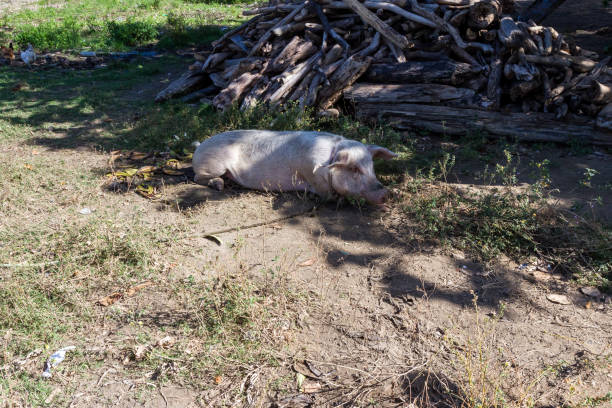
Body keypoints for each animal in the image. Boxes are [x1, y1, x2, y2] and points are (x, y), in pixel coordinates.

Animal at [194, 131, 400, 206]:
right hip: (213, 165)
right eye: (355, 169)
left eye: (371, 166)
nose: (385, 193)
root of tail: (199, 146)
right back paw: (219, 185)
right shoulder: (315, 179)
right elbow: (331, 196)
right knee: (197, 178)